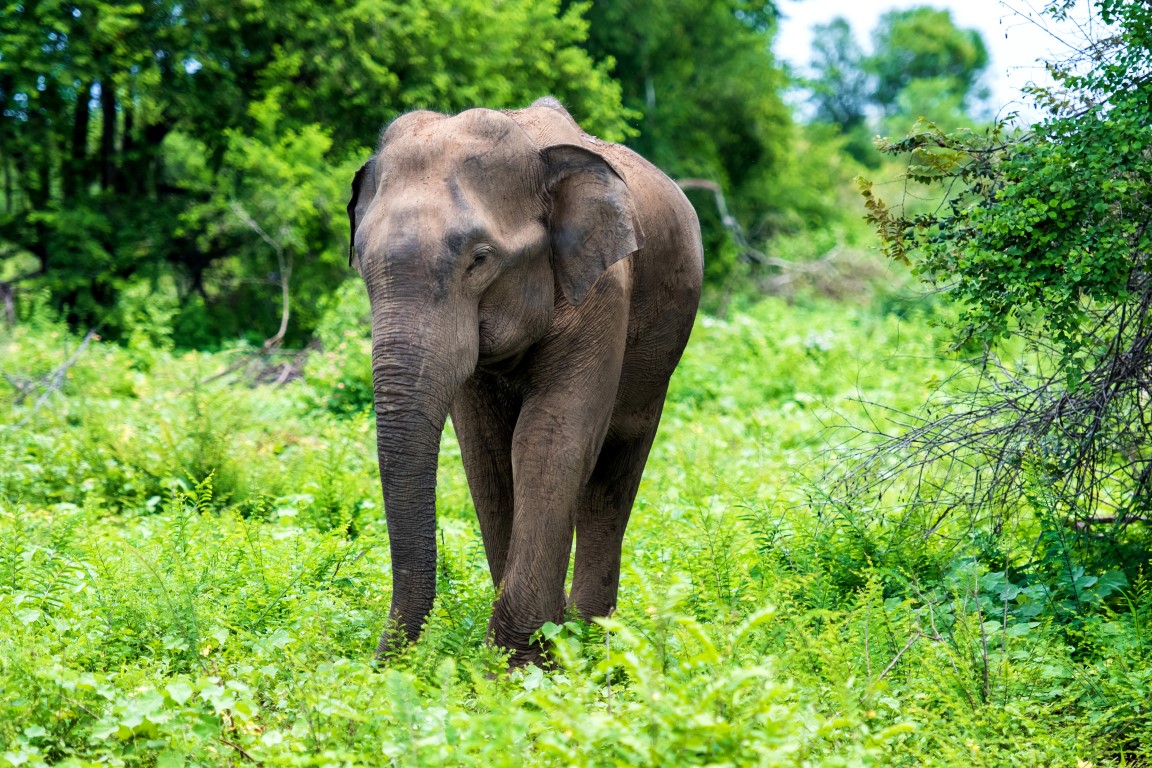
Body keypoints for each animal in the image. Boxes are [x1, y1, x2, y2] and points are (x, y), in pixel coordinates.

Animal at [347, 97, 703, 667]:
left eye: (479, 260)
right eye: (361, 262)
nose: (378, 669)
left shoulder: (603, 289)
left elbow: (548, 438)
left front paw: (517, 668)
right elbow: (487, 452)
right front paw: (535, 652)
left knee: (615, 468)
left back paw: (592, 639)